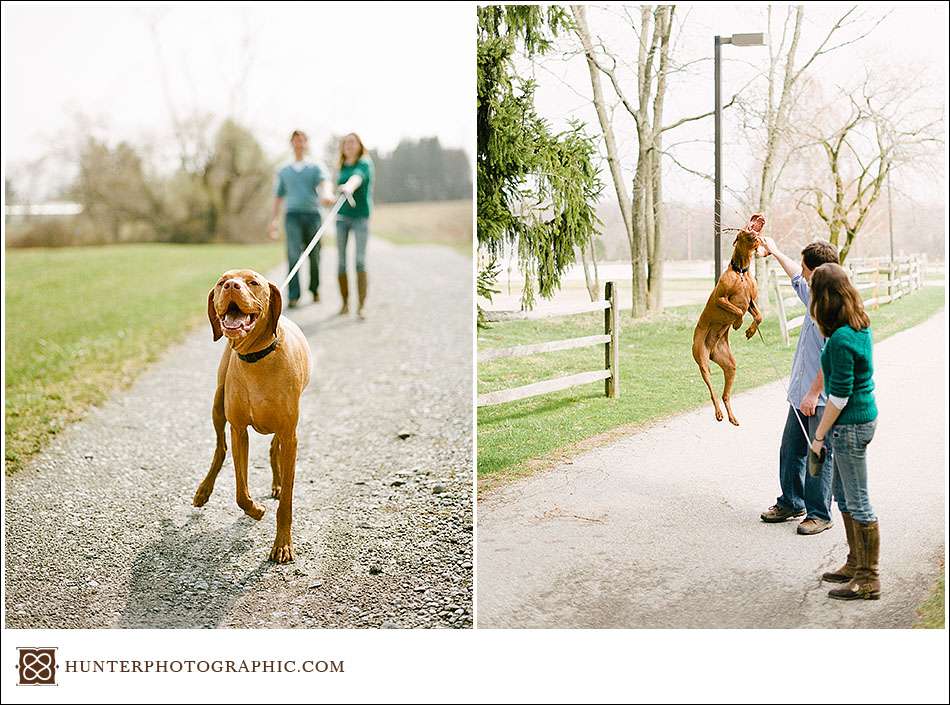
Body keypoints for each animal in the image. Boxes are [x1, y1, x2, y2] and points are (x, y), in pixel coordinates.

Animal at [192, 266, 312, 564]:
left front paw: (282, 544)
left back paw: (277, 482)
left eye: (253, 282)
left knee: (273, 448)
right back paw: (203, 491)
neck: (258, 358)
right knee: (220, 449)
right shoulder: (238, 431)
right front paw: (256, 510)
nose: (231, 286)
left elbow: (287, 502)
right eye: (221, 282)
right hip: (217, 404)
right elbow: (240, 492)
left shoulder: (290, 434)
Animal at [696, 213, 768, 424]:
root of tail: (711, 348)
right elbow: (736, 310)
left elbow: (758, 316)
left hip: (730, 365)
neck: (741, 271)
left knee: (725, 394)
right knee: (712, 391)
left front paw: (750, 331)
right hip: (702, 362)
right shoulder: (720, 299)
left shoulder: (751, 301)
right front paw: (737, 323)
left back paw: (731, 416)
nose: (759, 215)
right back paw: (719, 412)